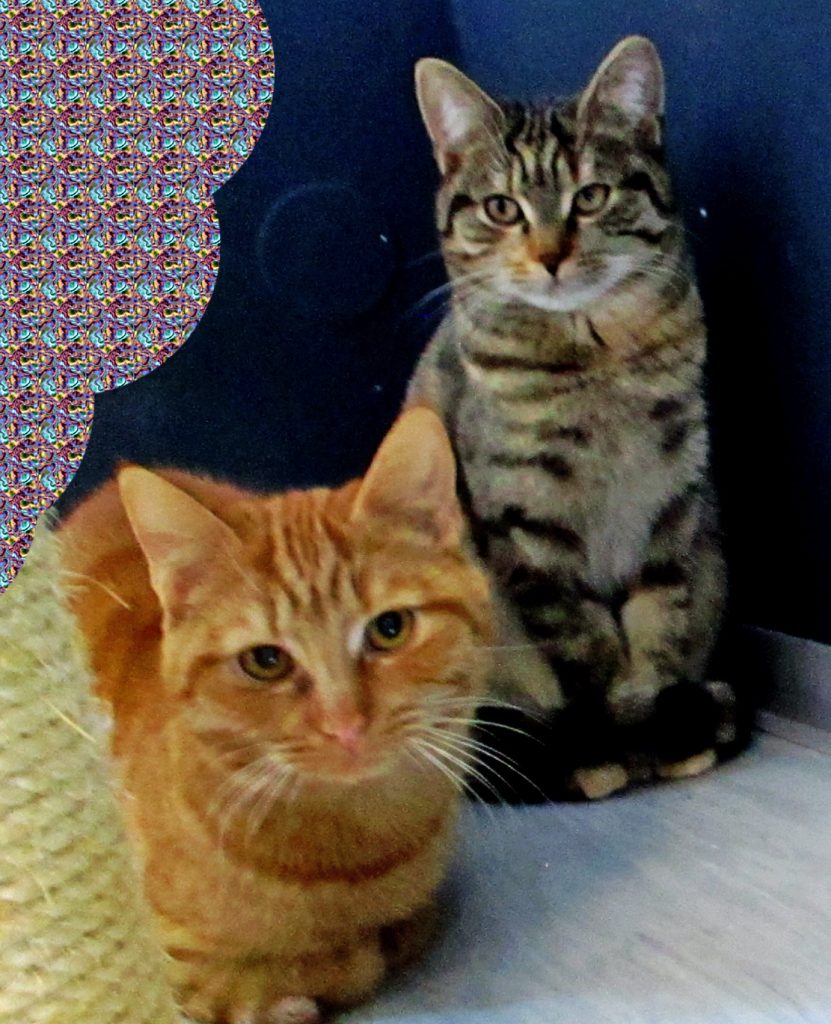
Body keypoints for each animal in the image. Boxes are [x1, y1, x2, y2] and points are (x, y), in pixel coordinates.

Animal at [59, 408, 494, 1024]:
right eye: (265, 661)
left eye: (390, 629)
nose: (345, 724)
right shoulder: (179, 963)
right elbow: (320, 970)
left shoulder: (422, 903)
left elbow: (405, 929)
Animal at [407, 36, 751, 801]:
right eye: (501, 208)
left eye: (590, 196)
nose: (551, 255)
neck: (596, 358)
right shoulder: (527, 525)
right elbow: (585, 642)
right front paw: (621, 735)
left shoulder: (672, 502)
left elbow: (658, 622)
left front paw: (660, 722)